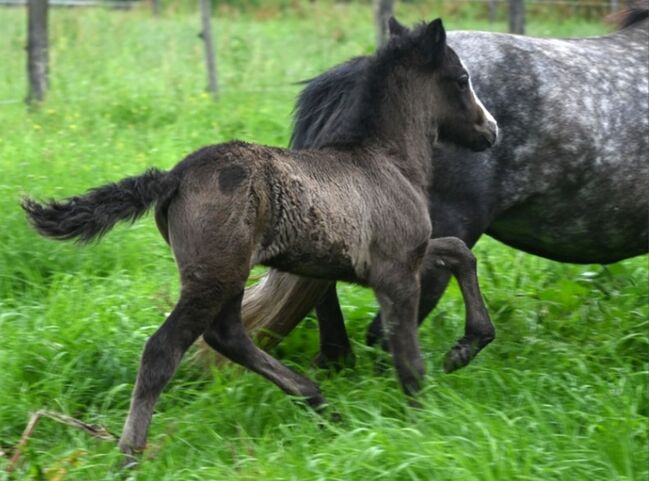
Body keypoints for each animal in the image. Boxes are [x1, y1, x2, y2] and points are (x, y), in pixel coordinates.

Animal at [20, 18, 496, 462]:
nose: (491, 131)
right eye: (461, 78)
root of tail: (175, 176)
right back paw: (129, 455)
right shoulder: (394, 273)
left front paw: (467, 347)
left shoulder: (408, 255)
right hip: (212, 278)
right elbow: (409, 356)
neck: (389, 160)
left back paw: (317, 400)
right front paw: (422, 427)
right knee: (163, 350)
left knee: (228, 336)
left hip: (228, 275)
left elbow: (460, 252)